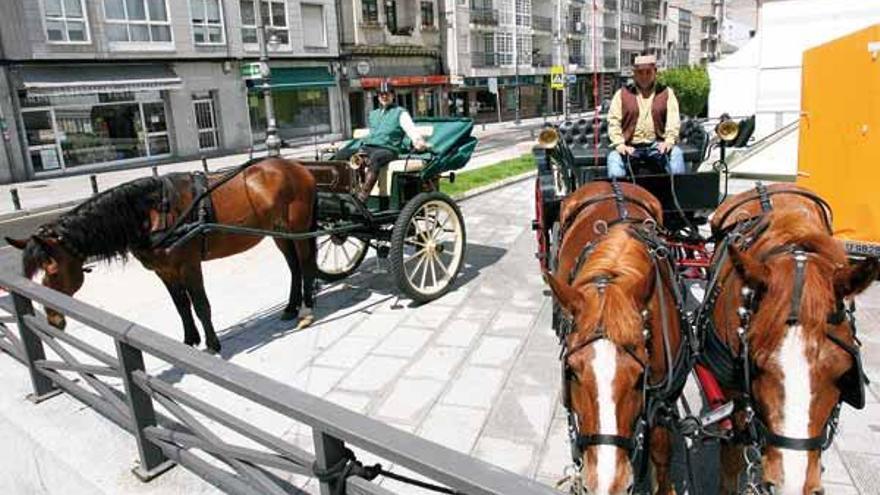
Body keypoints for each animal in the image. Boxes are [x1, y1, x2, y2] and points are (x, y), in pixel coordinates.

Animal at [5, 157, 318, 354]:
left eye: (53, 270)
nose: (53, 319)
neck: (152, 212)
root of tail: (296, 167)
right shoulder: (164, 271)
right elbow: (181, 306)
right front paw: (188, 341)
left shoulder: (189, 264)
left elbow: (201, 305)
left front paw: (212, 344)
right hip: (279, 232)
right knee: (294, 267)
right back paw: (291, 307)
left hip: (299, 228)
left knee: (305, 264)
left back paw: (307, 309)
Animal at [548, 183, 684, 495]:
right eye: (571, 372)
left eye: (639, 379)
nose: (608, 483)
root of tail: (610, 182)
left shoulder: (665, 396)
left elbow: (661, 447)